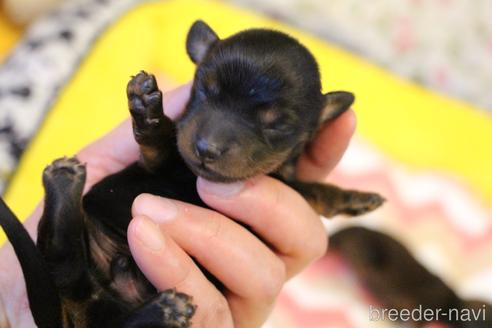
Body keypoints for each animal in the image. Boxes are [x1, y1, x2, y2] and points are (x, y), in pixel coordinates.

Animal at [0, 21, 384, 328]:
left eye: (277, 124)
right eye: (204, 89)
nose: (206, 148)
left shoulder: (282, 193)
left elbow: (305, 189)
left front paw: (353, 197)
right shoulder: (158, 163)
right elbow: (163, 142)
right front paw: (147, 111)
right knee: (61, 256)